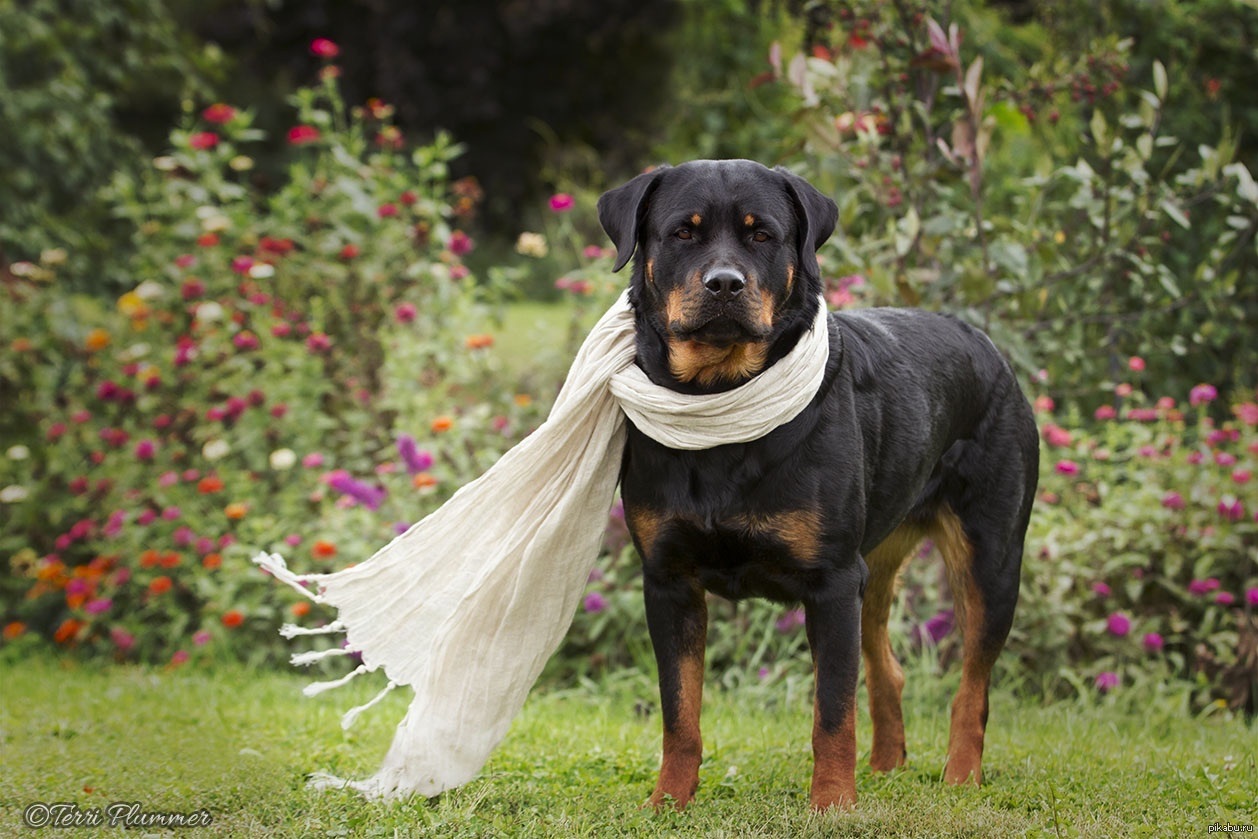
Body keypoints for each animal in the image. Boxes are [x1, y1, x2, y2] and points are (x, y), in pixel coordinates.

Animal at [598, 161, 1041, 810]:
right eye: (683, 232)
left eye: (762, 235)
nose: (724, 284)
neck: (722, 400)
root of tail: (988, 346)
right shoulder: (669, 579)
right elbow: (680, 710)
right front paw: (668, 802)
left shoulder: (830, 580)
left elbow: (832, 712)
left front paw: (832, 804)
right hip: (874, 564)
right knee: (885, 662)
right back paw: (886, 765)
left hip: (990, 556)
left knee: (973, 684)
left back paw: (961, 776)